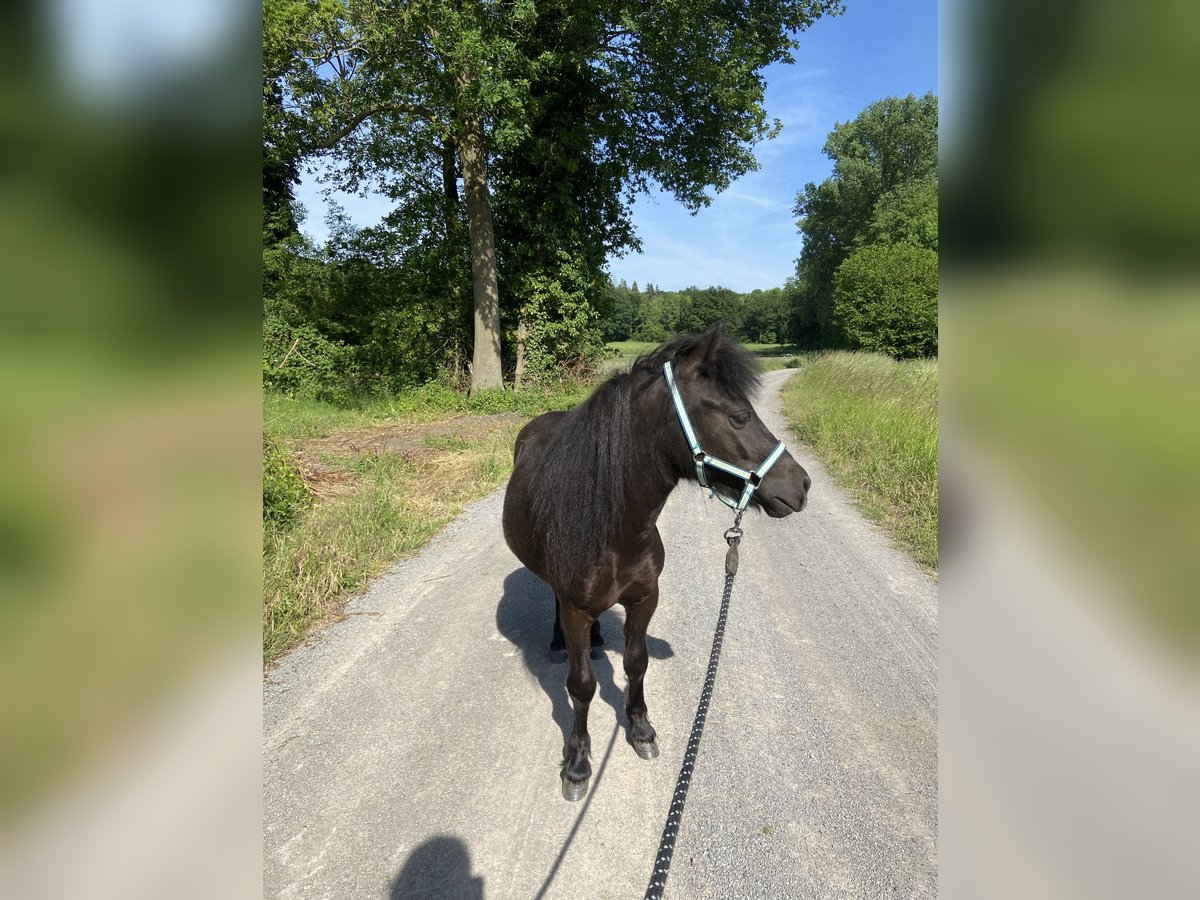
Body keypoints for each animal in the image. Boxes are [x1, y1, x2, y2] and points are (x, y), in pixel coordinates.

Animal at [496, 328, 806, 801]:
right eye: (739, 417)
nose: (802, 485)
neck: (615, 530)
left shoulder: (645, 598)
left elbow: (636, 662)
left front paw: (640, 729)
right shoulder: (576, 609)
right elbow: (581, 685)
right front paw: (577, 764)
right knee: (555, 604)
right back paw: (557, 642)